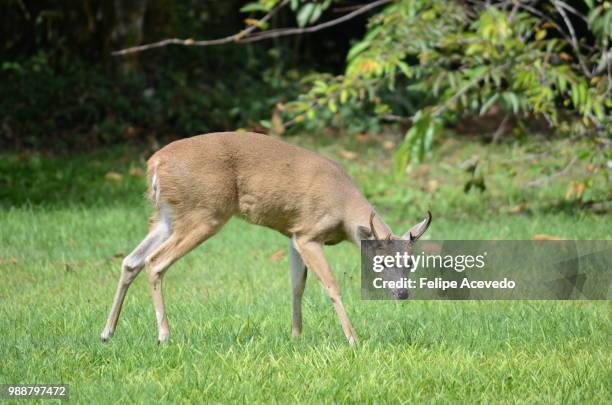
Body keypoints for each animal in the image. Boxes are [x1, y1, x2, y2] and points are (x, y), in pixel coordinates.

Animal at [100, 132, 430, 344]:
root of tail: (155, 164)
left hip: (168, 217)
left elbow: (297, 286)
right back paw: (164, 336)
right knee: (155, 262)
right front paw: (353, 340)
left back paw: (107, 333)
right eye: (381, 262)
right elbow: (331, 285)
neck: (343, 209)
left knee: (131, 261)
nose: (403, 294)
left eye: (411, 263)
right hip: (204, 213)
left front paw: (296, 337)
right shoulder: (309, 233)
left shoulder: (294, 234)